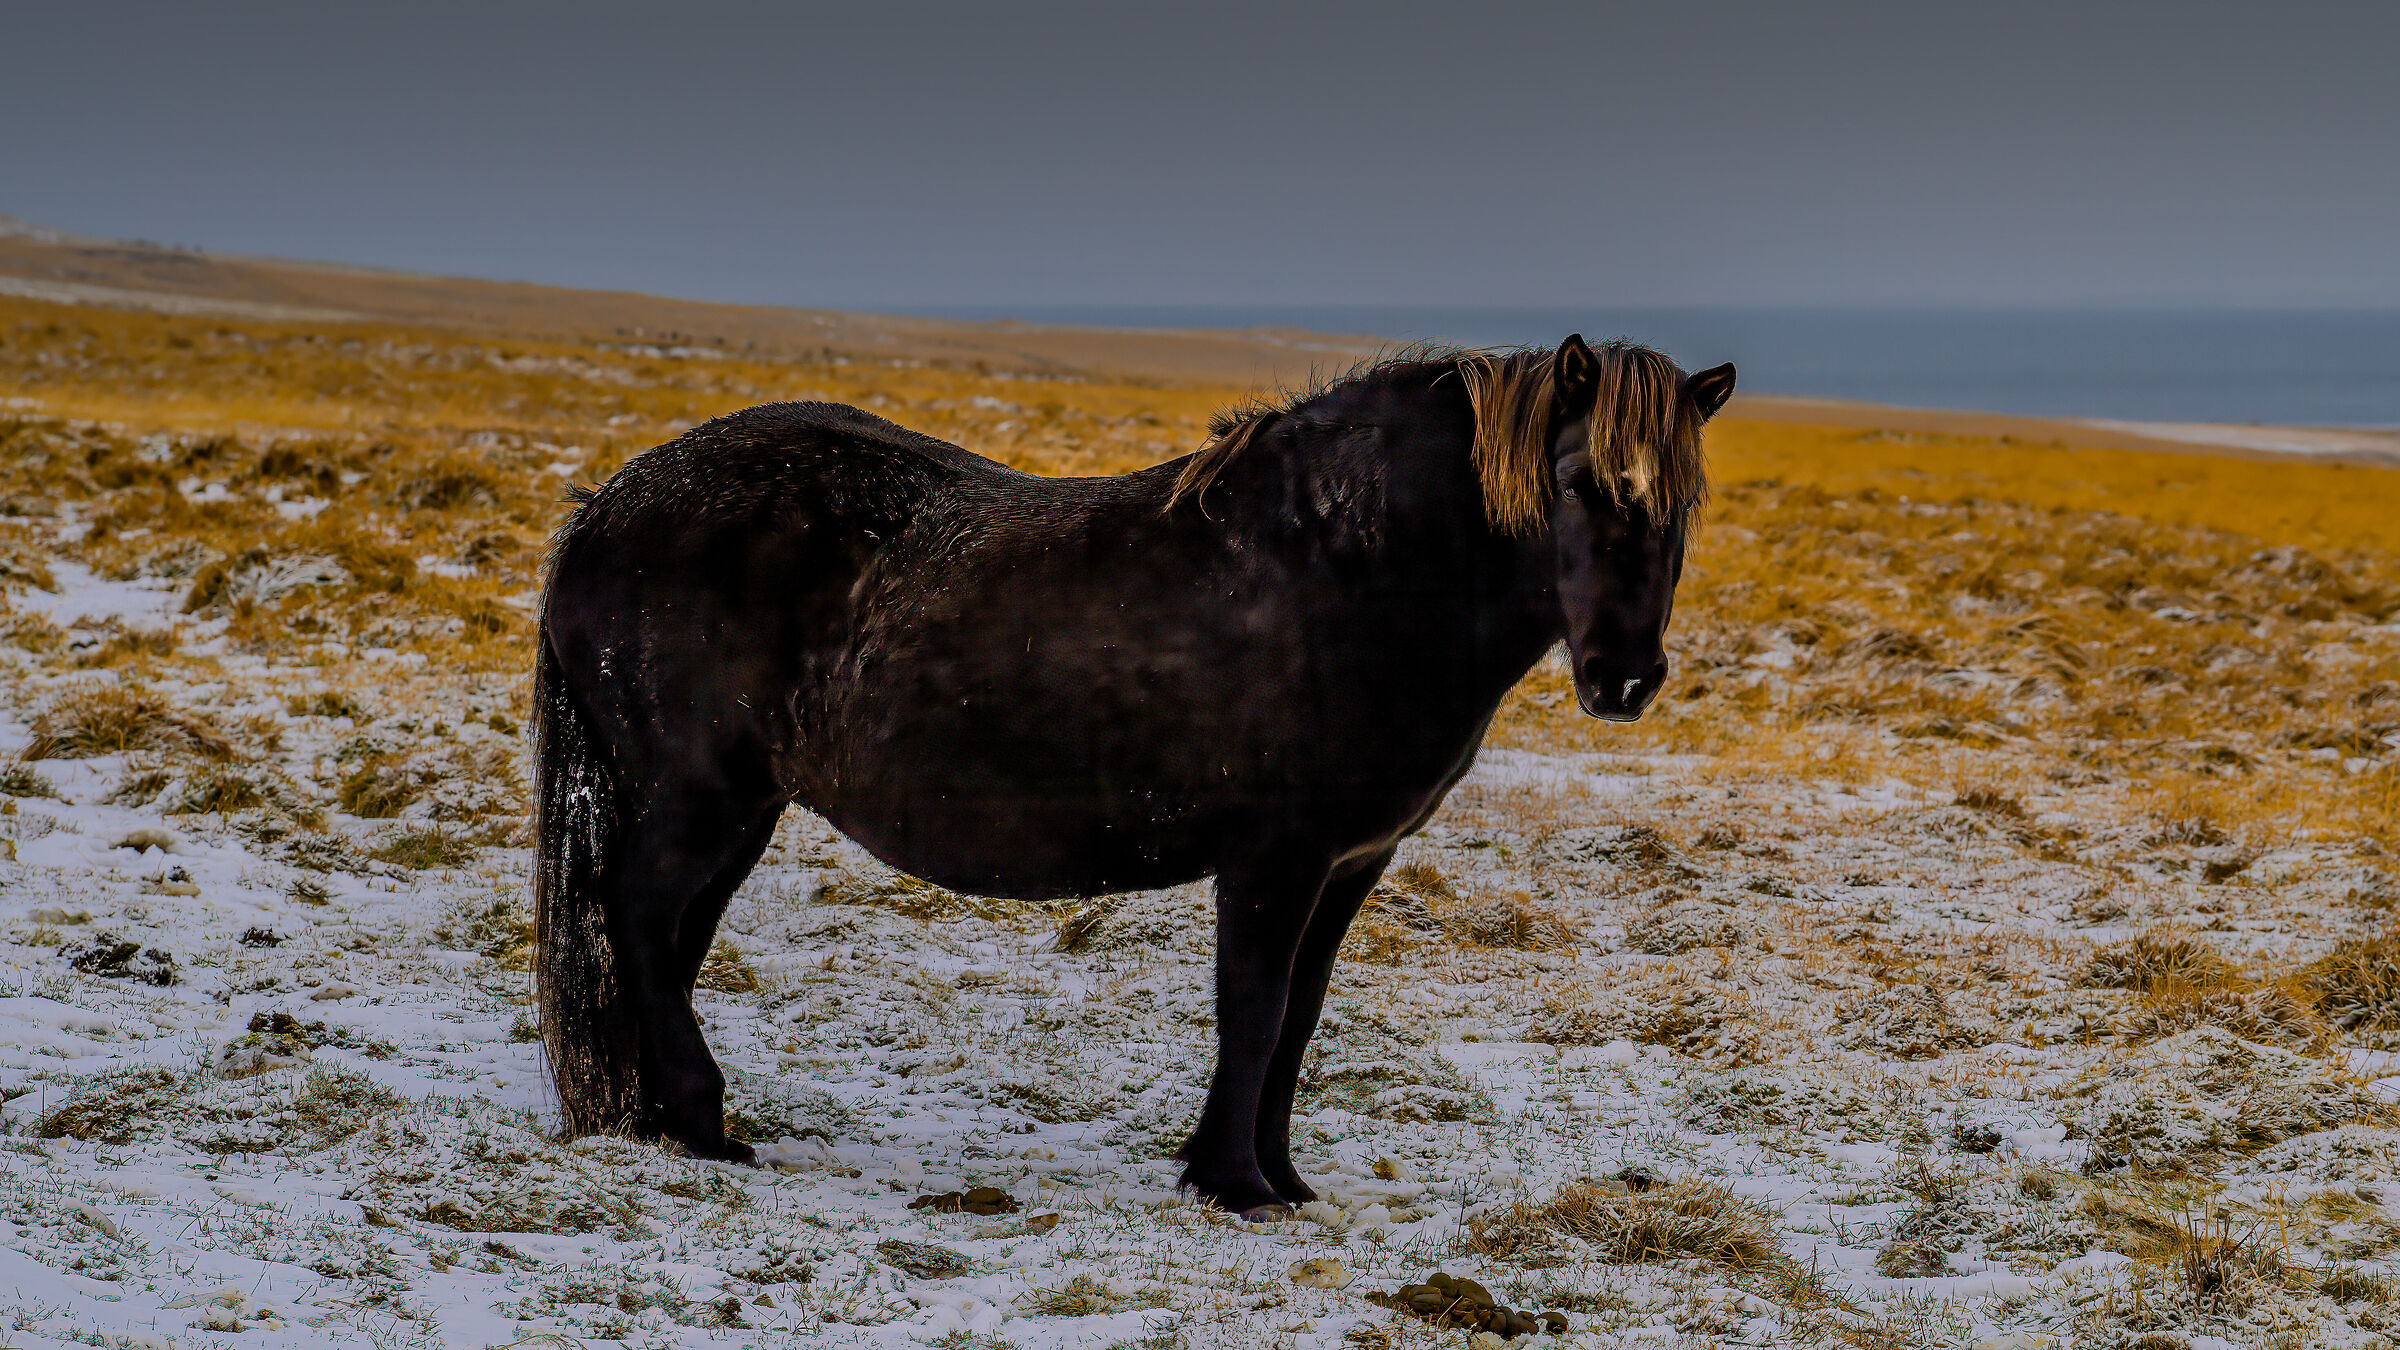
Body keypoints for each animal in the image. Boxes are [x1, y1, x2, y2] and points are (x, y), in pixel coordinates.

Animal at [532, 334, 1733, 1218]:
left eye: (1684, 503)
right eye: (1575, 483)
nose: (1626, 678)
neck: (1352, 570)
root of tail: (609, 503)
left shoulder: (1351, 865)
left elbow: (1301, 1014)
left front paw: (1277, 1176)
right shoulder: (1274, 861)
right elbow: (1255, 1008)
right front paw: (1234, 1183)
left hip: (742, 811)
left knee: (669, 938)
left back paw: (669, 1121)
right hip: (699, 799)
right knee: (638, 917)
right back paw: (698, 1118)